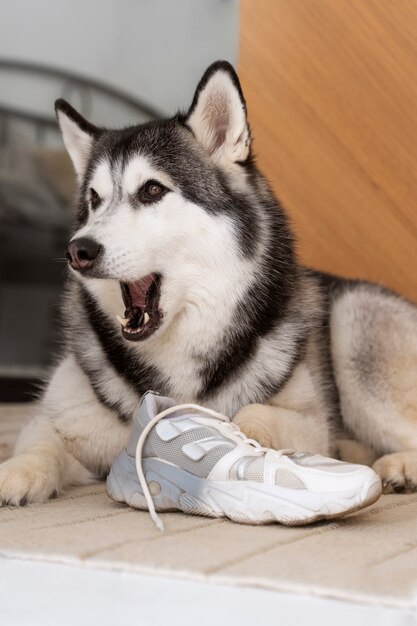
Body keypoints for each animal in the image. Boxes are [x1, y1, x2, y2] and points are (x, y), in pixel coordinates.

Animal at [0, 61, 416, 504]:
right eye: (94, 199)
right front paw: (18, 471)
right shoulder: (64, 415)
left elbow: (254, 414)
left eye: (152, 190)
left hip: (355, 327)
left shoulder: (312, 420)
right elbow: (41, 441)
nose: (78, 250)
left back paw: (398, 465)